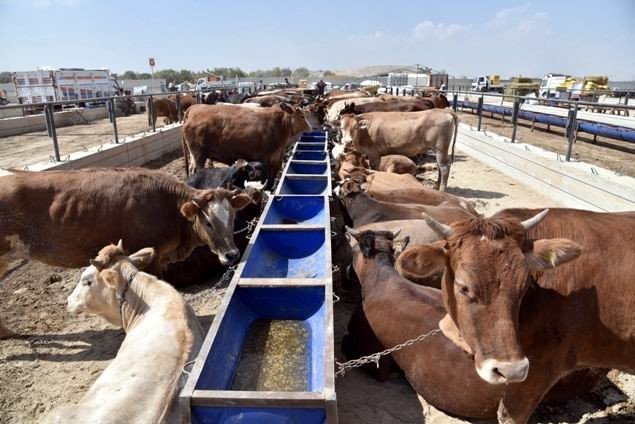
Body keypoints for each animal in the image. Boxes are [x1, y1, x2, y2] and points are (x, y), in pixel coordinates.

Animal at [181, 104, 314, 181]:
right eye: (302, 116)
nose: (311, 128)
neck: (280, 125)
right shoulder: (268, 159)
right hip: (199, 155)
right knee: (196, 170)